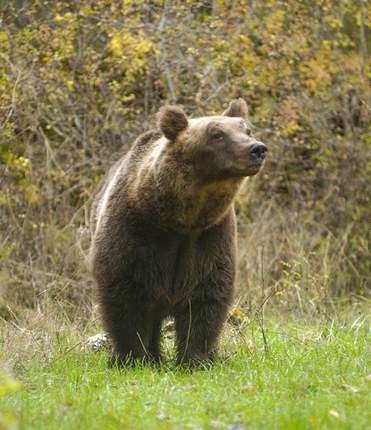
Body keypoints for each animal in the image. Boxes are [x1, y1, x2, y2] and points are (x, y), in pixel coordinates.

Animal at [91, 100, 268, 366]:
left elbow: (205, 298)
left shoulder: (210, 237)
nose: (257, 148)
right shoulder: (133, 233)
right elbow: (124, 297)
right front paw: (130, 358)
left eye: (247, 130)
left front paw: (195, 360)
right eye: (217, 135)